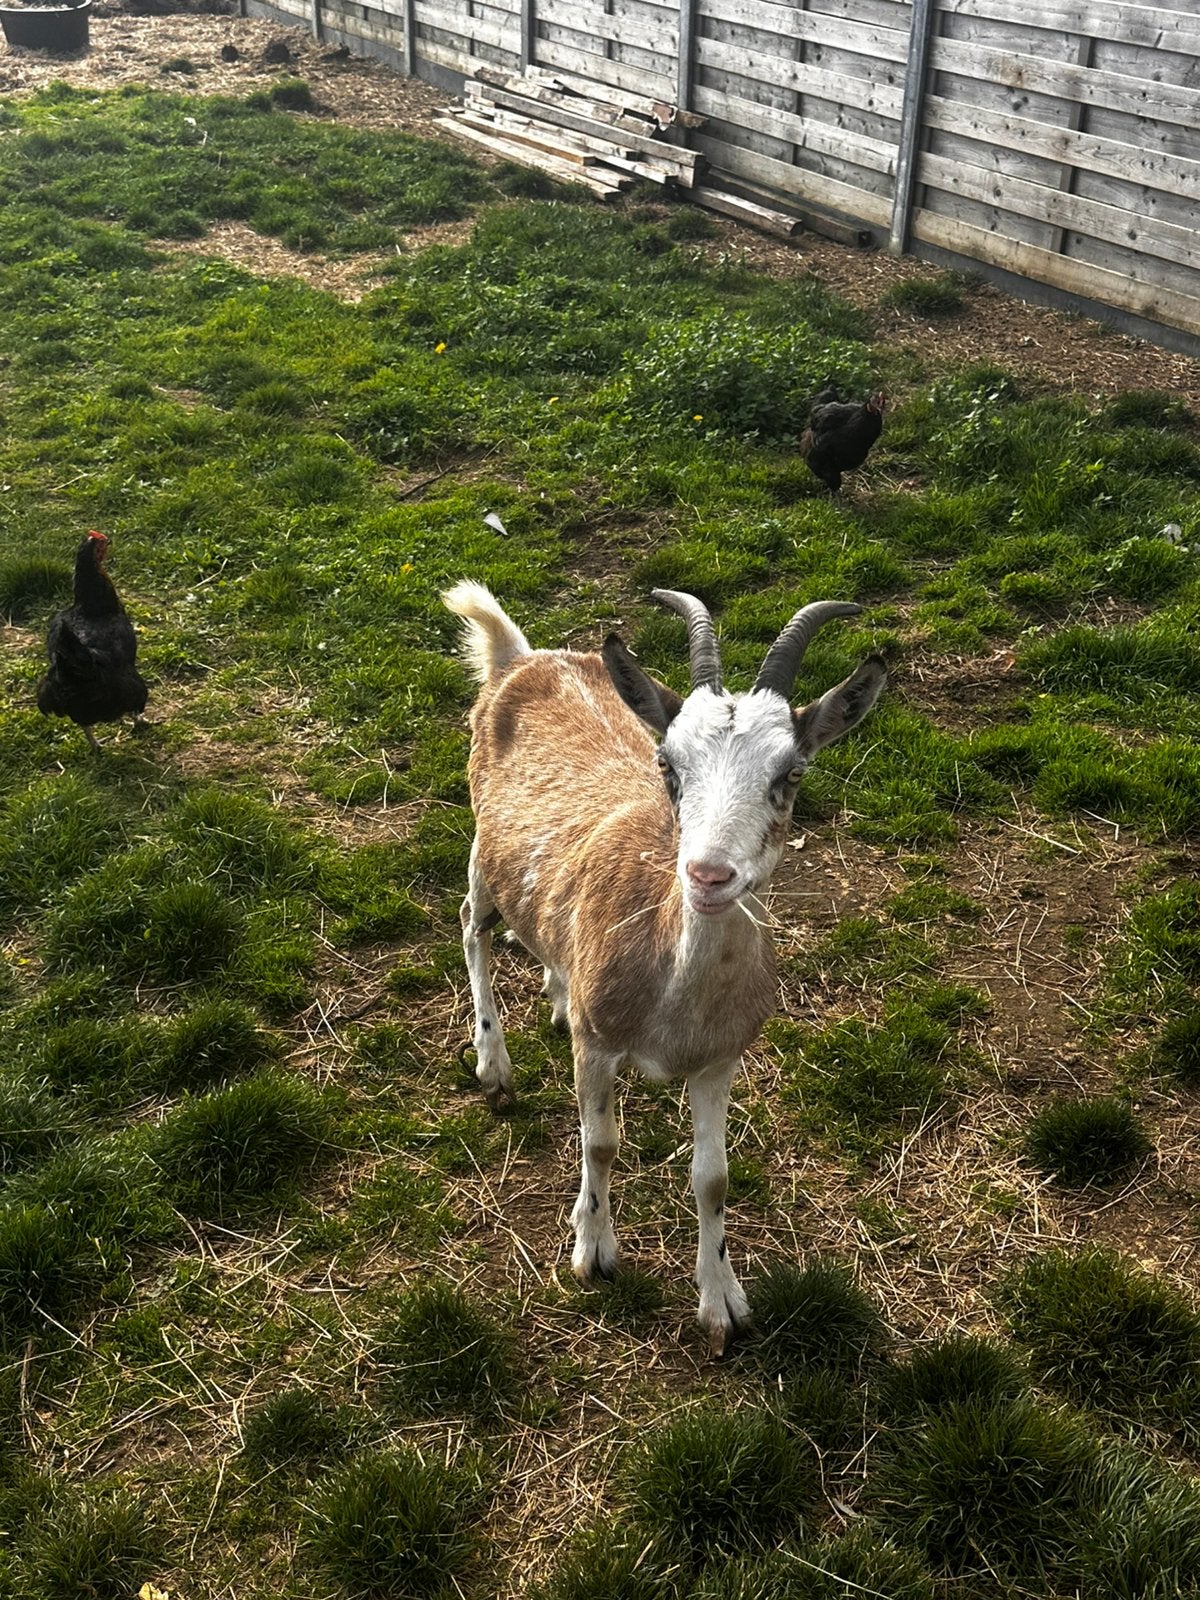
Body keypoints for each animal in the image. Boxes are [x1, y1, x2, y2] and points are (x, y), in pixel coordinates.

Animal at [443, 581, 885, 1353]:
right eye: (668, 766)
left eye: (791, 773)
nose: (708, 875)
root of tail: (521, 657)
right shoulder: (598, 1046)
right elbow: (600, 1143)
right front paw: (593, 1250)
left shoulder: (720, 1060)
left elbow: (713, 1178)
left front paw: (722, 1301)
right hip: (482, 845)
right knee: (472, 925)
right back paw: (493, 1064)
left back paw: (556, 991)